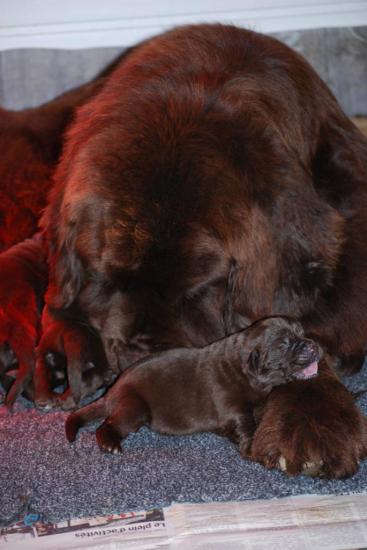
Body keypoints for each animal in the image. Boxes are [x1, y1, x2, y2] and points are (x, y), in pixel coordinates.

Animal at [66, 316, 322, 460]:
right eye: (284, 344)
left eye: (302, 333)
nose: (313, 345)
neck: (246, 372)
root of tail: (112, 390)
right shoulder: (233, 408)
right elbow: (244, 425)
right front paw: (251, 447)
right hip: (134, 407)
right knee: (107, 425)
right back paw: (110, 444)